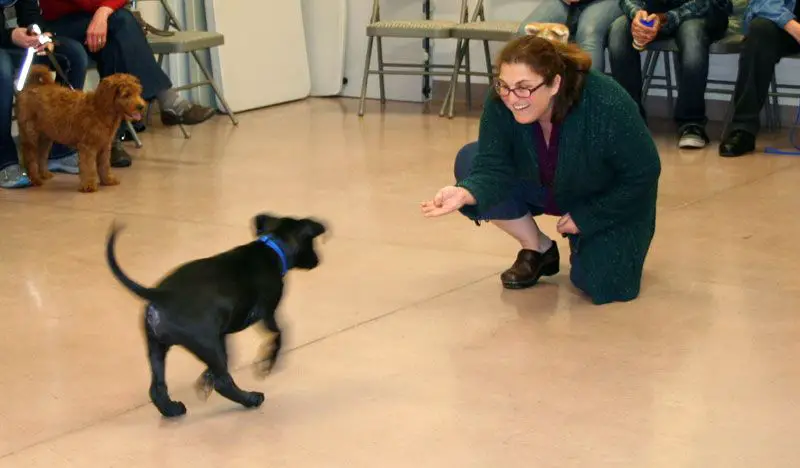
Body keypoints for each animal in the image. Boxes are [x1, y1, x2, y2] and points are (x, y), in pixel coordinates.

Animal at [15, 64, 147, 192]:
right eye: (126, 94)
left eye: (138, 92)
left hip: (45, 138)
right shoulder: (88, 147)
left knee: (41, 156)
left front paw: (108, 180)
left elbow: (104, 165)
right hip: (30, 135)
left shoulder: (104, 146)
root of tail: (32, 86)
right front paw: (89, 185)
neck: (101, 109)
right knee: (30, 158)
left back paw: (44, 174)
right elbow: (89, 167)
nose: (141, 106)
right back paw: (35, 179)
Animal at [105, 212, 324, 416]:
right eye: (311, 243)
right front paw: (267, 363)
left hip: (158, 347)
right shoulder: (267, 312)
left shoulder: (222, 334)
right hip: (207, 344)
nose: (318, 261)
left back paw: (172, 410)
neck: (271, 246)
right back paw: (251, 399)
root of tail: (163, 294)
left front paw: (205, 378)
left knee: (157, 388)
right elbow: (280, 333)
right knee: (223, 382)